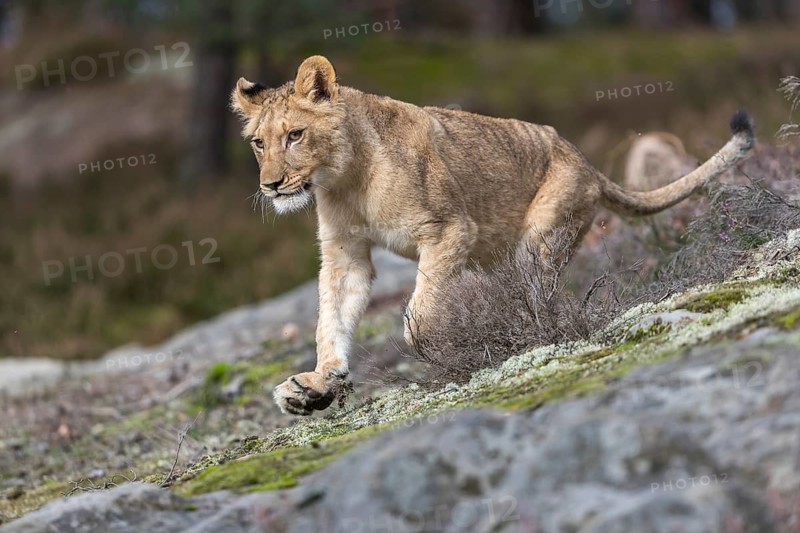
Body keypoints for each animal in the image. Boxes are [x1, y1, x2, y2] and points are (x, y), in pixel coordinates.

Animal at [230, 55, 755, 416]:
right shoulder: (345, 252)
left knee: (539, 299)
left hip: (544, 233)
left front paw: (441, 350)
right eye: (258, 142)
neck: (345, 178)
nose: (271, 185)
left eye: (295, 135)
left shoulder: (449, 229)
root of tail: (586, 162)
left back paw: (525, 337)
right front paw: (318, 385)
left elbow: (420, 315)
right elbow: (330, 320)